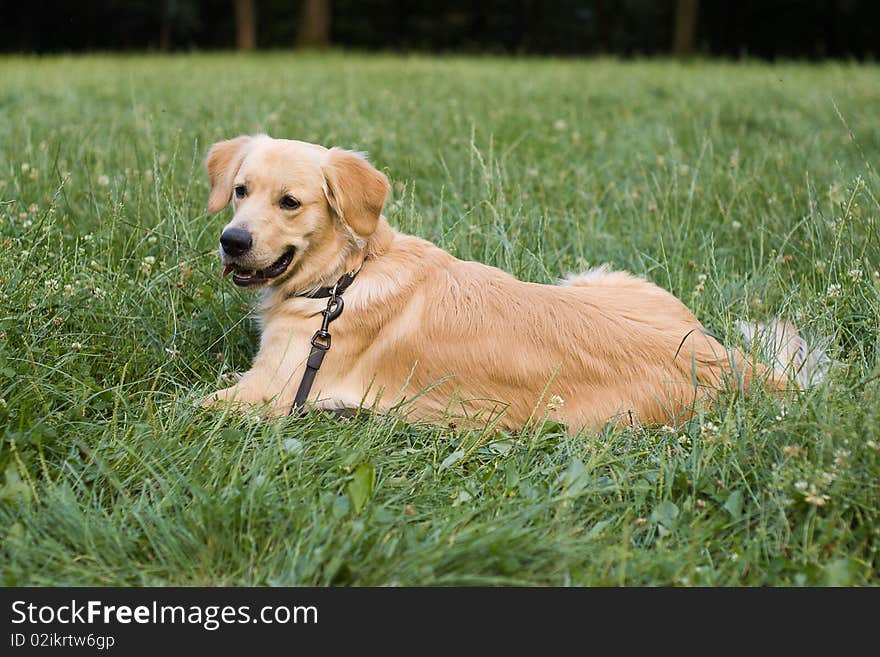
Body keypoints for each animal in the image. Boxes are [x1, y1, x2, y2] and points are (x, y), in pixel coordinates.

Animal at [203, 133, 828, 430]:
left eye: (290, 203)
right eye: (240, 190)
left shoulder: (273, 393)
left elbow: (184, 405)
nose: (232, 241)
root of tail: (724, 359)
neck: (346, 276)